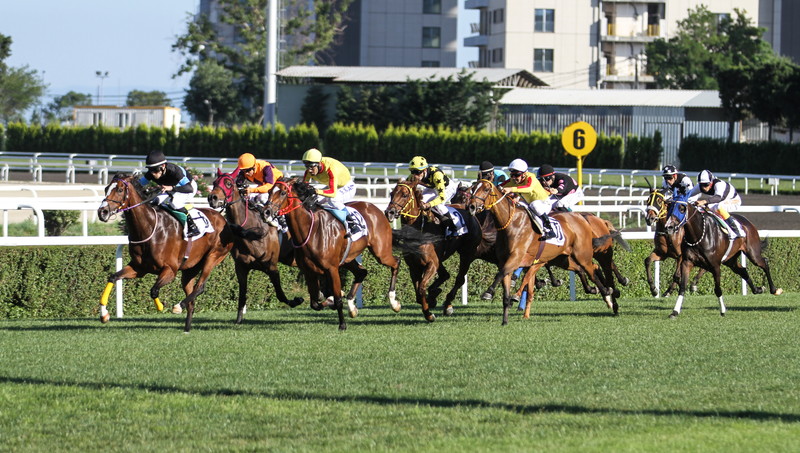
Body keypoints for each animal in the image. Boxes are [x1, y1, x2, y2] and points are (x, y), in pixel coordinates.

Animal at [96, 171, 233, 330]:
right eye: (106, 189)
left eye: (119, 190)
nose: (102, 212)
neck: (149, 228)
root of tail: (222, 219)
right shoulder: (138, 268)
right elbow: (113, 277)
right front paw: (104, 315)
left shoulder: (170, 270)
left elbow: (154, 290)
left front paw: (161, 307)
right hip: (190, 269)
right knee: (192, 299)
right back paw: (186, 328)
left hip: (213, 257)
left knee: (200, 287)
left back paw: (179, 306)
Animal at [206, 168, 304, 324]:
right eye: (214, 182)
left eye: (228, 183)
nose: (212, 198)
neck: (250, 231)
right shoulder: (241, 267)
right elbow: (242, 294)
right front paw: (239, 319)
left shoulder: (271, 266)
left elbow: (280, 294)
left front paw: (296, 300)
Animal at [262, 178, 400, 330]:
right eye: (269, 191)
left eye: (282, 193)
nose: (266, 212)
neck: (310, 231)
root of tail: (376, 209)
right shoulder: (309, 271)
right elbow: (315, 303)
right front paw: (328, 301)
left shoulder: (332, 269)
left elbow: (337, 299)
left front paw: (342, 324)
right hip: (348, 258)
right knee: (361, 273)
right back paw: (352, 308)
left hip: (381, 252)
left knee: (396, 262)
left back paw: (394, 302)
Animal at [382, 178, 482, 320]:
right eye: (391, 194)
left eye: (405, 195)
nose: (389, 212)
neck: (419, 229)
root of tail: (470, 212)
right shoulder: (414, 266)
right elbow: (418, 294)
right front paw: (431, 300)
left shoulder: (431, 263)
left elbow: (421, 288)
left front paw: (429, 314)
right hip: (441, 259)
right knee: (445, 275)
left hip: (467, 253)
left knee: (460, 278)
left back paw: (448, 304)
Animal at [462, 178, 612, 324]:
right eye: (473, 188)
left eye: (486, 189)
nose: (471, 206)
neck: (512, 224)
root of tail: (582, 218)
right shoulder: (507, 261)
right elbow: (507, 285)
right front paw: (505, 320)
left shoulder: (517, 259)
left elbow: (502, 274)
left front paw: (489, 292)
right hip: (563, 259)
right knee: (584, 268)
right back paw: (598, 291)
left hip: (582, 255)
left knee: (592, 271)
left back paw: (607, 294)